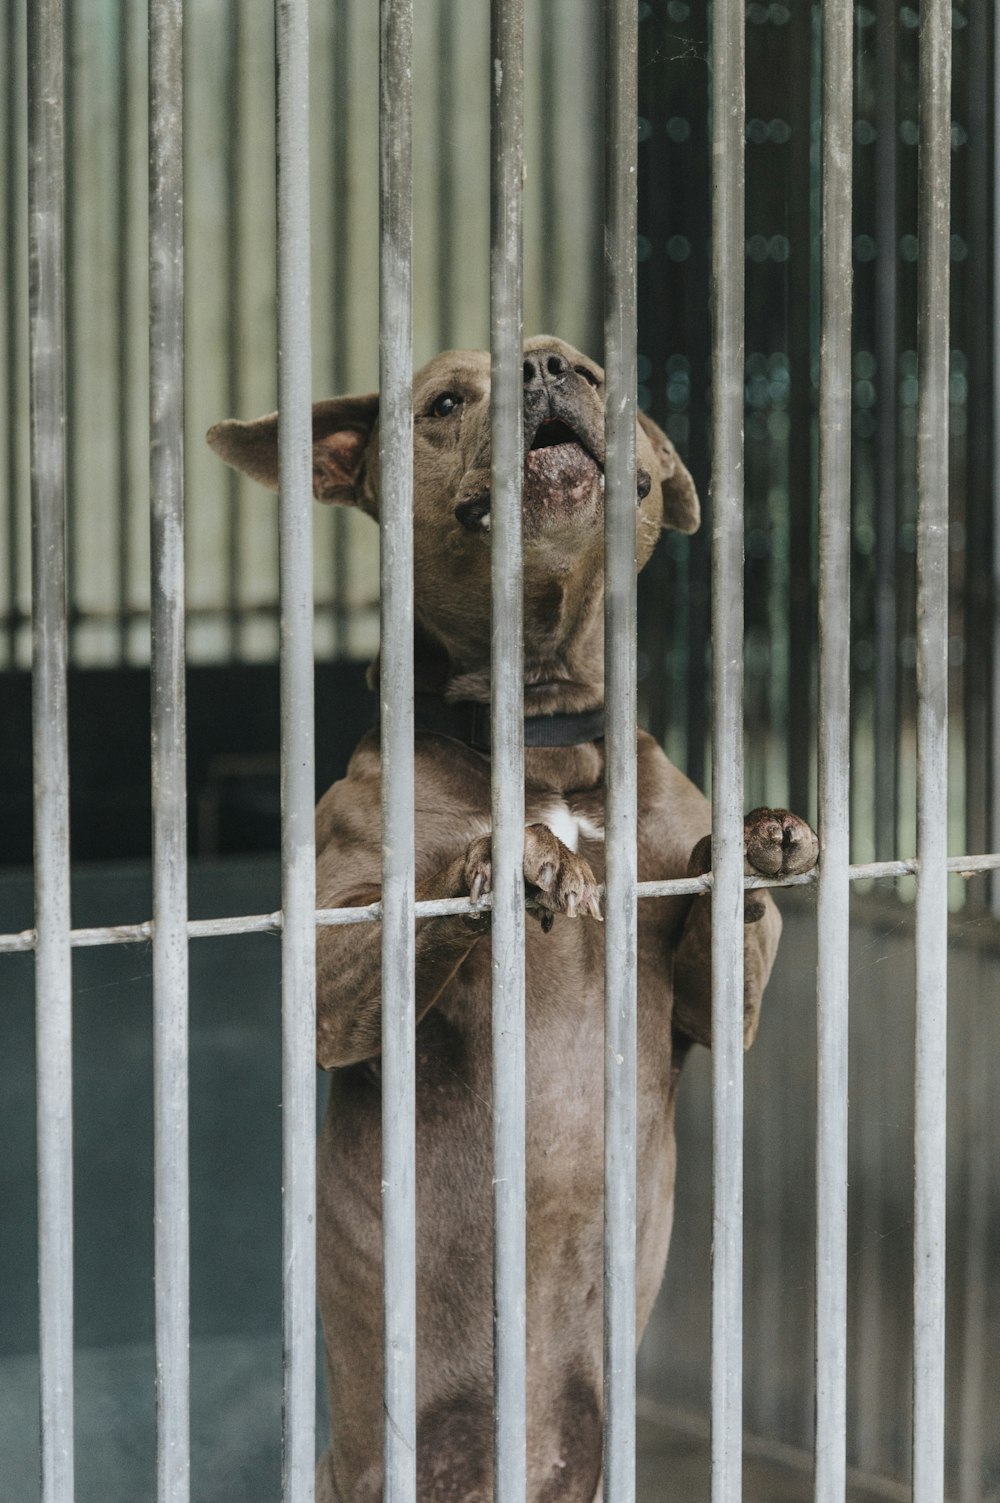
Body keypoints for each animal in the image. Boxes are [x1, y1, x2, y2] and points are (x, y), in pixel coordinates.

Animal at [206, 341, 818, 1503]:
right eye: (446, 400)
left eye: (587, 367)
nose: (542, 367)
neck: (543, 731)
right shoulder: (327, 965)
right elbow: (418, 901)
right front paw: (519, 854)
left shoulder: (720, 1006)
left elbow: (716, 898)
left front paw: (754, 840)